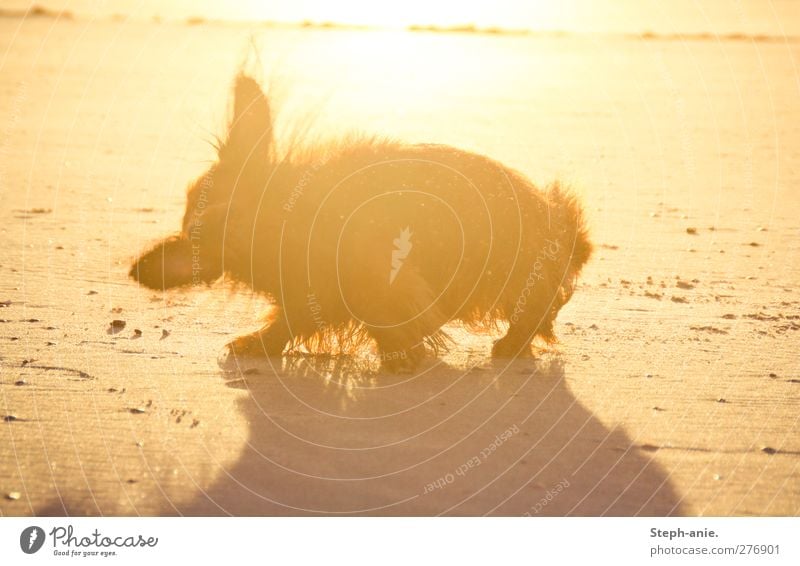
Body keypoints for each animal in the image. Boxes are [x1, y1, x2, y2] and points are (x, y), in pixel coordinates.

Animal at [130, 73, 592, 372]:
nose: (223, 219)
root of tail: (560, 218)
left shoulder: (373, 280)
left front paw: (402, 354)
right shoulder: (316, 294)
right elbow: (294, 319)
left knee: (535, 310)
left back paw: (509, 343)